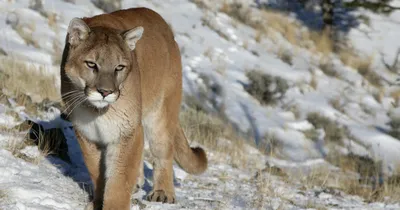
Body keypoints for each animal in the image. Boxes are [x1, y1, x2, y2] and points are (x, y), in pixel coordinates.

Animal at [61, 7, 209, 209]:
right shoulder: (87, 134)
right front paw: (98, 201)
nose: (105, 92)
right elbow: (97, 172)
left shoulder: (127, 131)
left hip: (160, 114)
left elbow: (119, 179)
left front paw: (113, 205)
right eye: (91, 64)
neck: (97, 111)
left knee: (163, 151)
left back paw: (163, 193)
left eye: (119, 67)